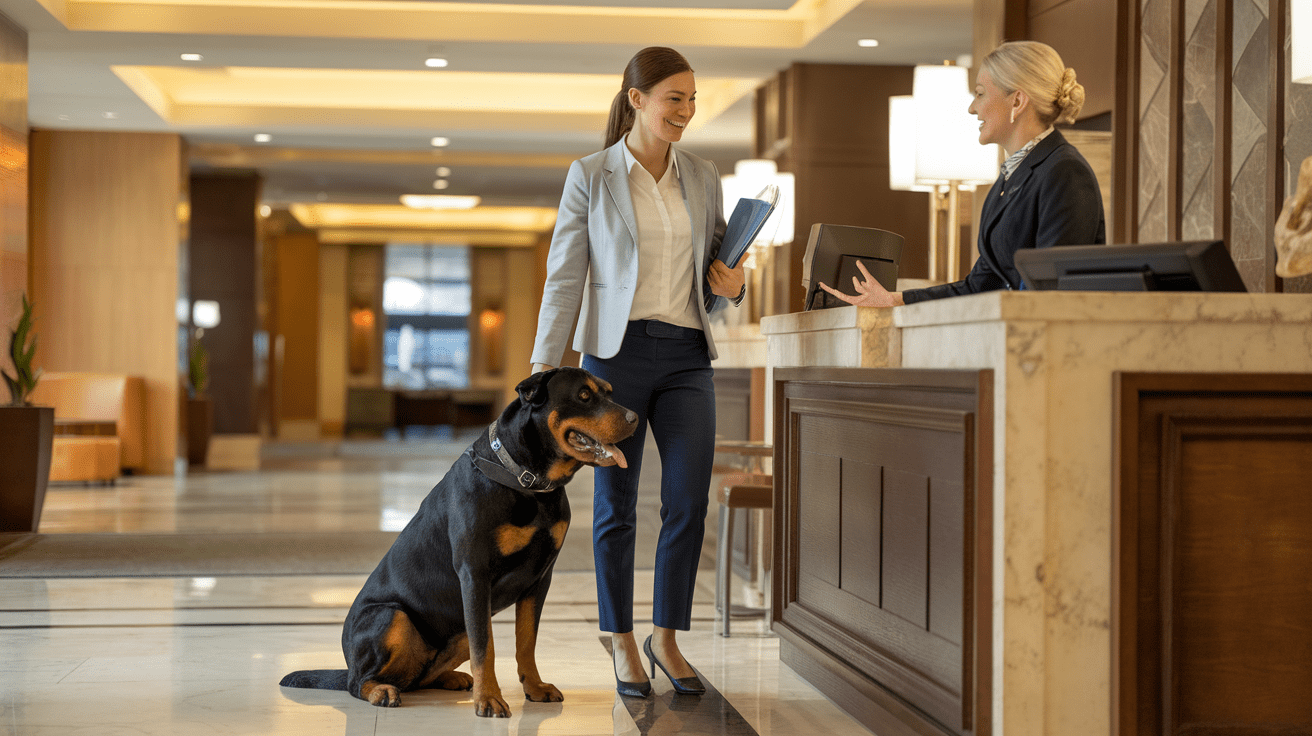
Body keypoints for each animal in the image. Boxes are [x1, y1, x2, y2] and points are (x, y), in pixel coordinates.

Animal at [279, 369, 637, 713]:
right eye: (584, 395)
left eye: (609, 392)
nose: (634, 418)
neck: (528, 483)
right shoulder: (475, 574)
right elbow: (486, 648)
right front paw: (489, 699)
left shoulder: (539, 579)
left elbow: (526, 641)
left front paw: (534, 687)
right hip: (392, 616)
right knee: (359, 682)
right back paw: (381, 690)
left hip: (457, 629)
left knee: (419, 676)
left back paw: (450, 678)